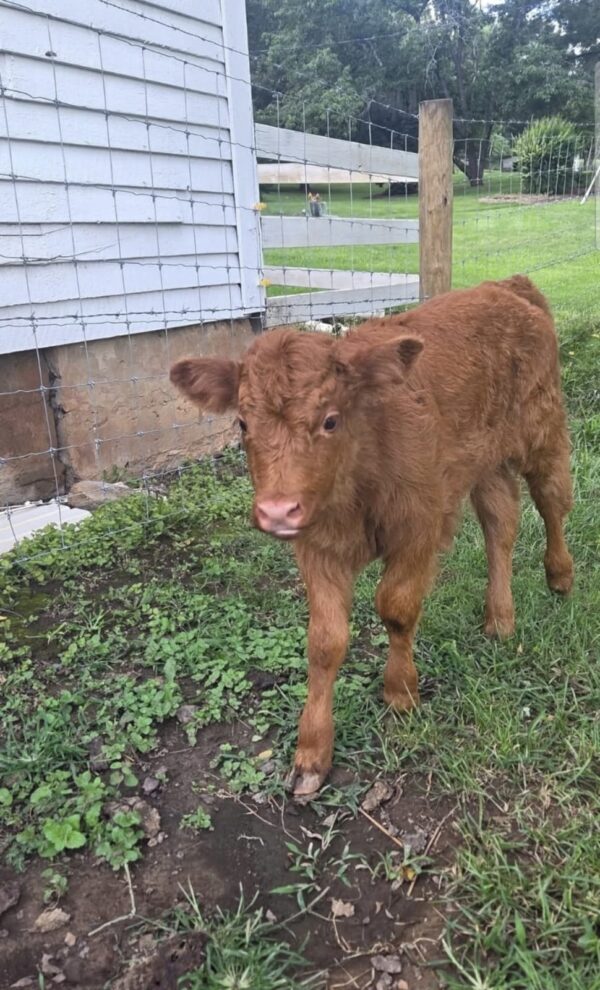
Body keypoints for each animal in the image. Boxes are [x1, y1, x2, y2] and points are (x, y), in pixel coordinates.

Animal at [170, 276, 574, 797]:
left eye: (330, 419)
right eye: (242, 422)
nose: (277, 511)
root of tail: (506, 286)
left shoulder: (418, 527)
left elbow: (396, 609)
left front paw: (400, 691)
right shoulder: (317, 547)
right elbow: (325, 642)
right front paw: (312, 753)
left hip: (541, 427)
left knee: (551, 501)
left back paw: (560, 576)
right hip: (483, 461)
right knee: (500, 525)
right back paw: (500, 619)